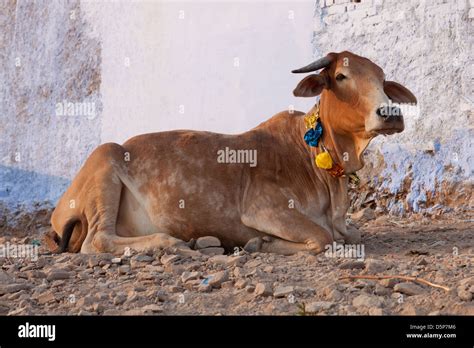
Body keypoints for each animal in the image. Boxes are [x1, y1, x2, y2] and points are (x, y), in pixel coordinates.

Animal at [46, 51, 416, 256]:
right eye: (341, 75)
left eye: (382, 78)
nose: (389, 113)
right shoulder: (264, 209)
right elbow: (322, 237)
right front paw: (258, 244)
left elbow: (350, 234)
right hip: (104, 165)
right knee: (97, 241)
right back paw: (174, 244)